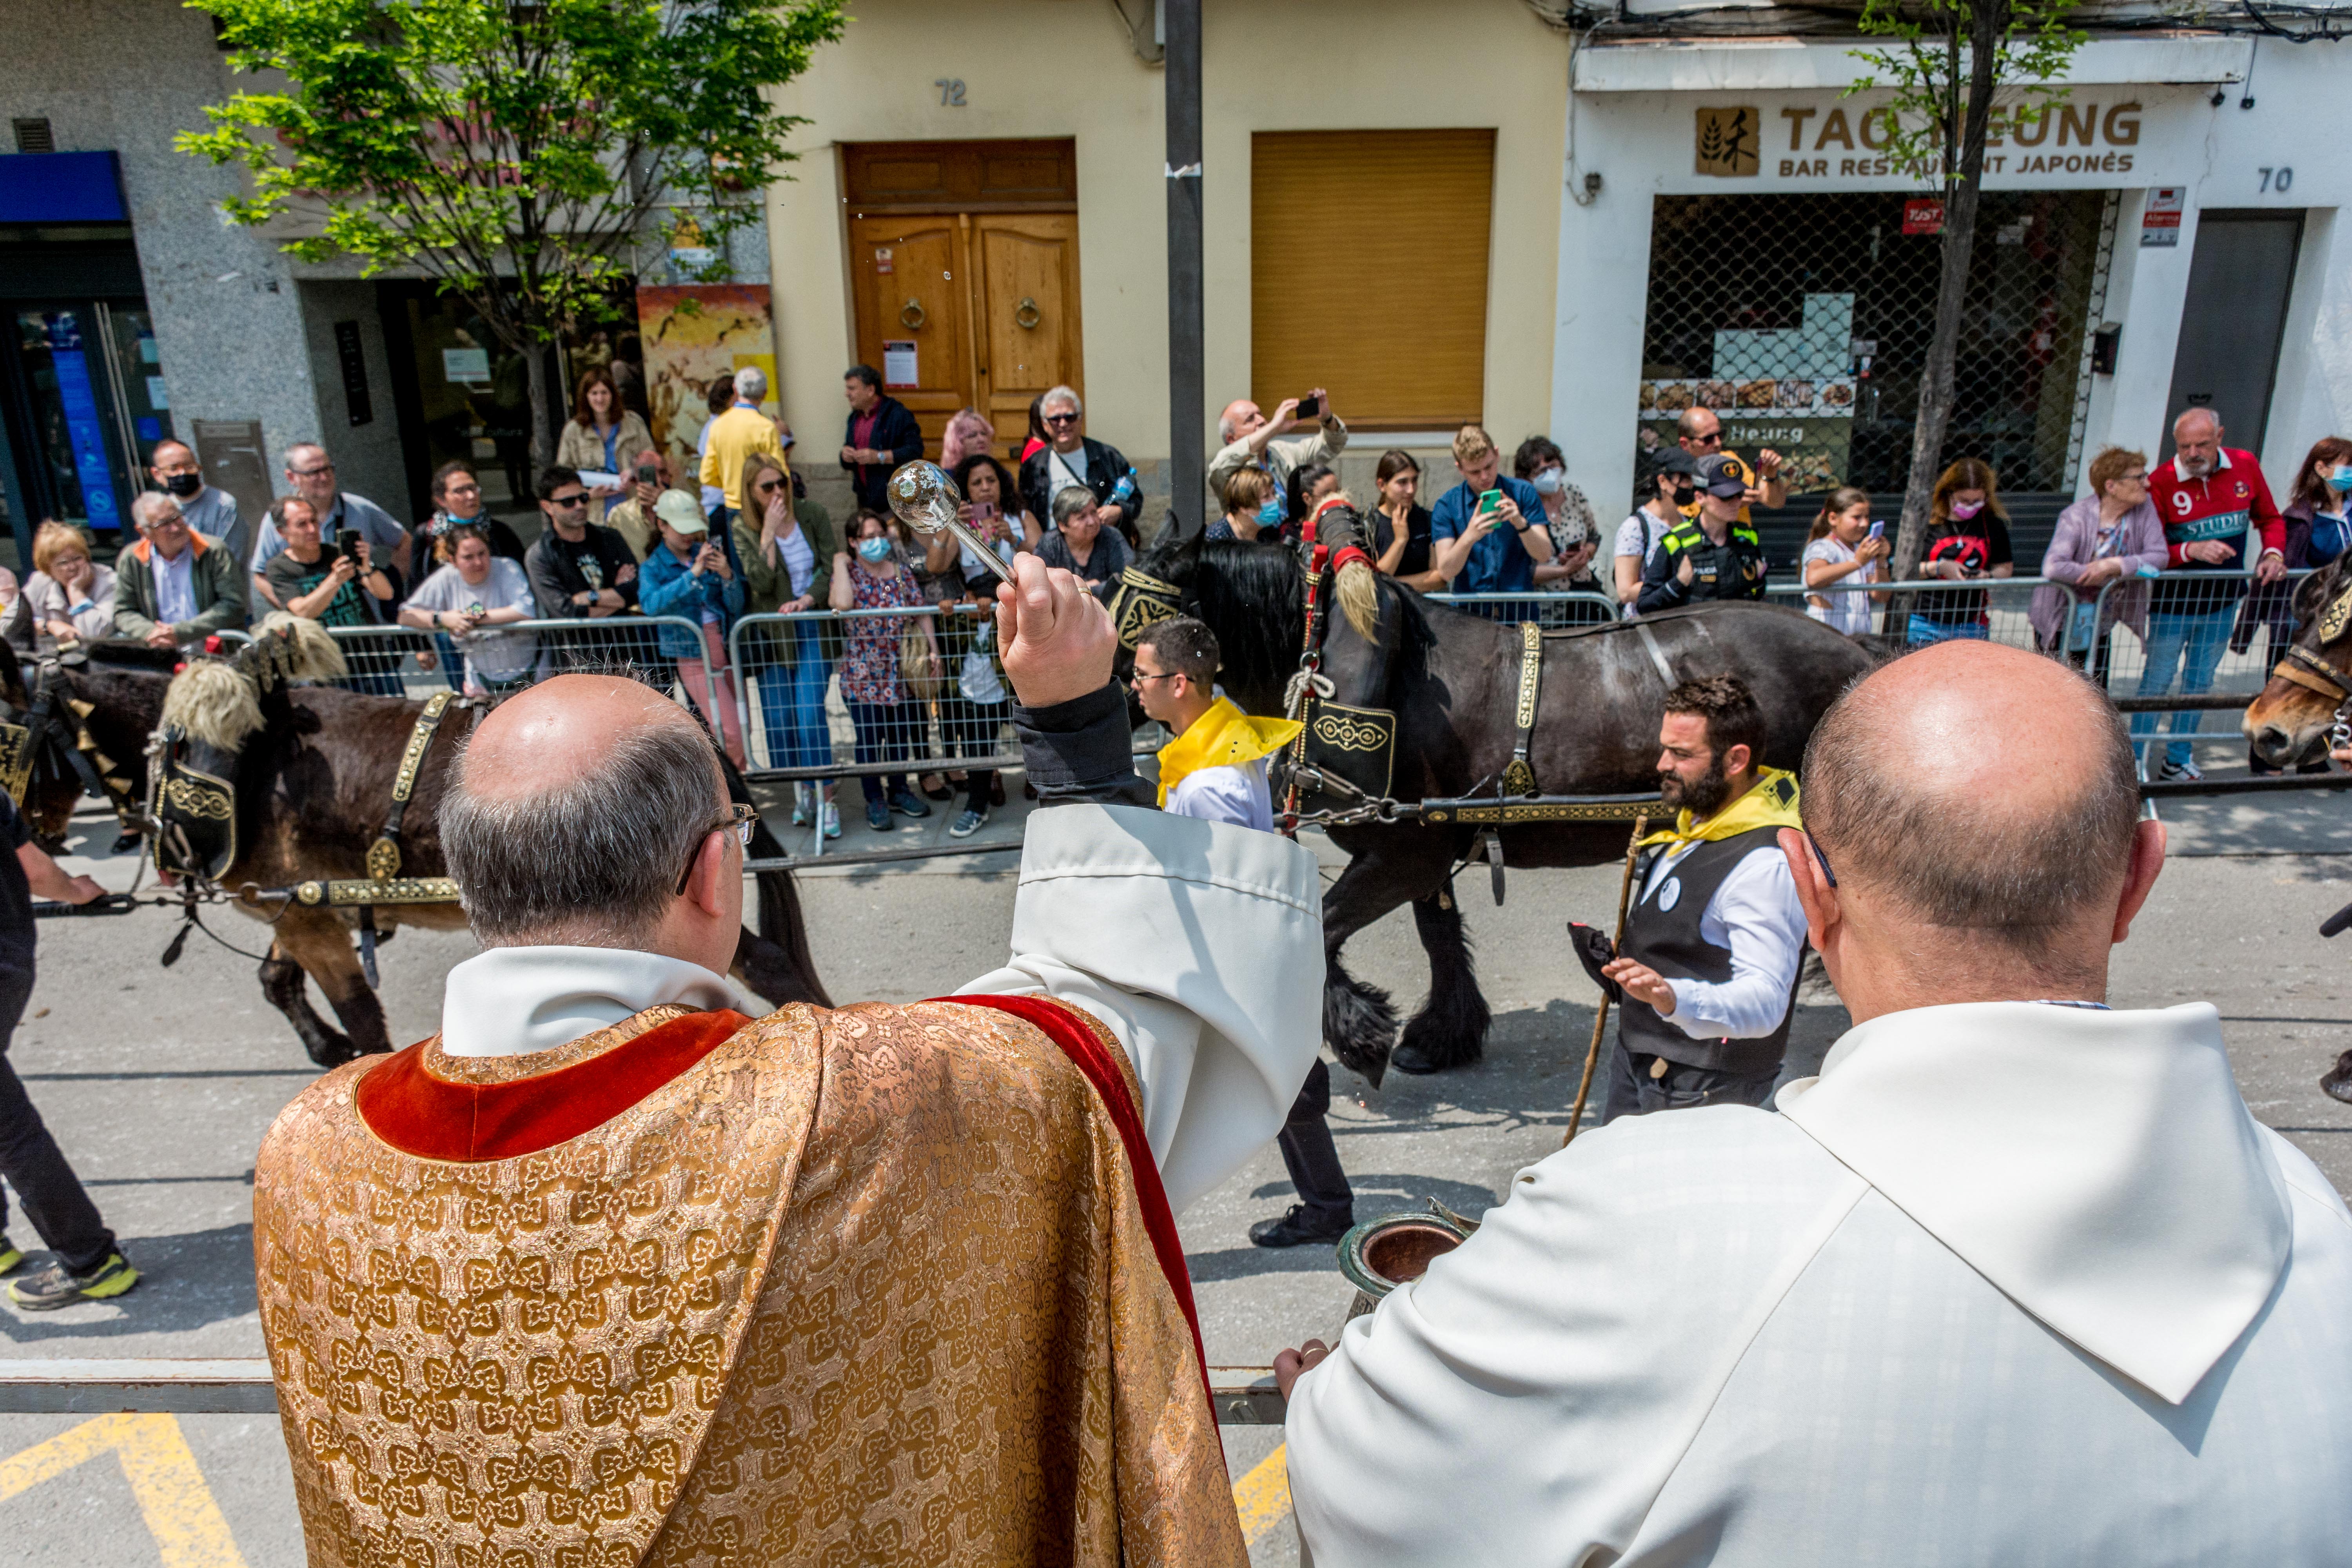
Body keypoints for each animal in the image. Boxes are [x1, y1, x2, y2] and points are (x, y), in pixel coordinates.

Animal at [0, 630, 828, 1072]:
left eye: (9, 736)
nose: (26, 838)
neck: (240, 759)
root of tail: (696, 728)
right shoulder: (299, 907)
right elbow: (278, 983)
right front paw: (327, 1052)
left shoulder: (304, 917)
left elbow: (361, 1015)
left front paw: (348, 1062)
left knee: (765, 962)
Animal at [1115, 522, 1872, 1086]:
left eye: (1128, 611)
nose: (1103, 685)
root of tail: (1859, 658)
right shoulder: (1426, 849)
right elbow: (1439, 937)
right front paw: (1438, 1036)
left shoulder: (1402, 853)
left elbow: (1325, 929)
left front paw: (1362, 1036)